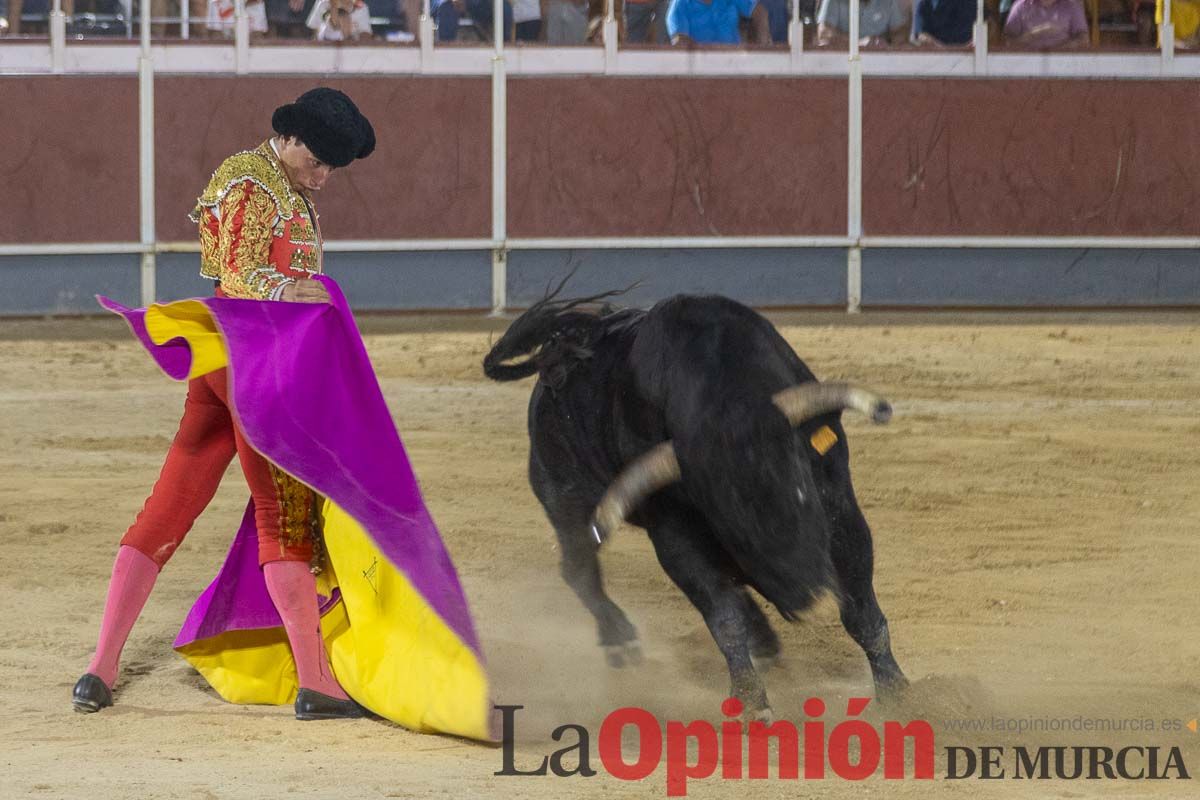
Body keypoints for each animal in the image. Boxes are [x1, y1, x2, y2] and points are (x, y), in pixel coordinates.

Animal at [482, 292, 902, 719]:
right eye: (733, 530)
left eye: (802, 495)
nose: (814, 602)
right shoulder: (673, 532)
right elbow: (724, 618)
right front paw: (753, 704)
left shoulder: (839, 505)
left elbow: (861, 611)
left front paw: (897, 695)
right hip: (564, 498)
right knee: (578, 568)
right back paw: (621, 640)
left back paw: (765, 641)